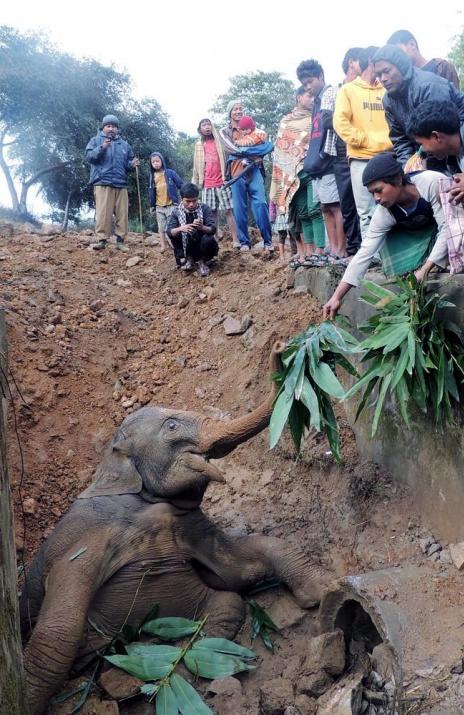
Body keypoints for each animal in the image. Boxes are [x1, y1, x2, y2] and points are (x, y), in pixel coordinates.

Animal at [20, 344, 330, 712]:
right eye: (170, 425)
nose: (282, 348)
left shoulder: (189, 524)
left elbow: (240, 570)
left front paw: (325, 592)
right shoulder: (88, 534)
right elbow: (58, 632)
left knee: (228, 603)